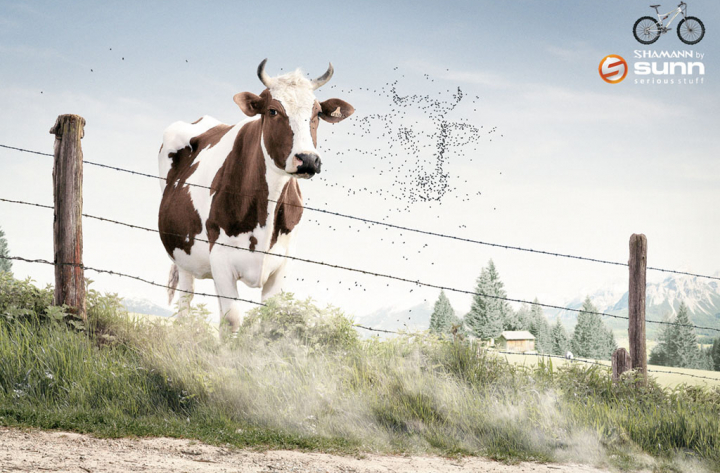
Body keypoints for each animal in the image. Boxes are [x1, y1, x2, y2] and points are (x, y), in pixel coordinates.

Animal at [157, 59, 354, 331]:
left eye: (316, 113)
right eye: (272, 111)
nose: (307, 159)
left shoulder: (281, 264)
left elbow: (268, 320)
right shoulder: (220, 258)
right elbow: (232, 320)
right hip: (182, 253)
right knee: (185, 306)